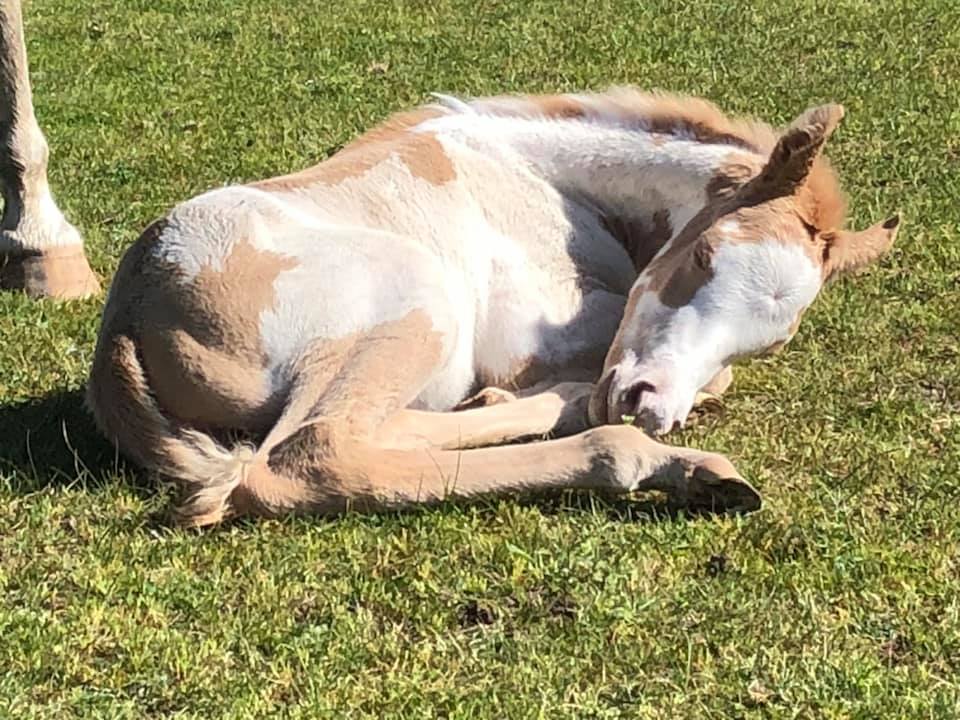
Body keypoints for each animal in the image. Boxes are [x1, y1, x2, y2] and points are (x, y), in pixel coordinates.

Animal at [86, 91, 896, 528]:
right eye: (704, 254)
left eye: (772, 342)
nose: (649, 405)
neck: (542, 175)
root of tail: (126, 313)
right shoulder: (534, 333)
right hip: (420, 299)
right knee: (306, 456)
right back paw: (662, 462)